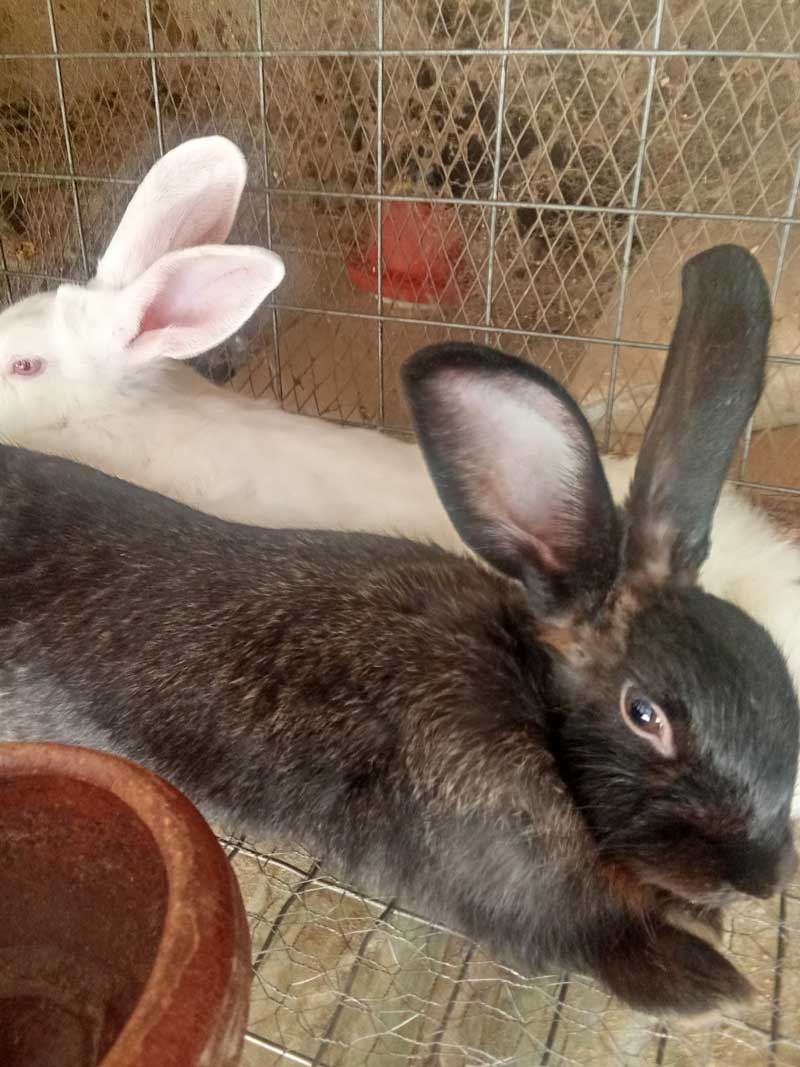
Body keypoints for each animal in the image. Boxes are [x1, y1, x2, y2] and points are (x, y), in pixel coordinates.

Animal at [0, 244, 796, 1018]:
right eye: (644, 714)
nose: (761, 880)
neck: (529, 697)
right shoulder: (508, 869)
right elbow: (600, 935)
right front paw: (713, 981)